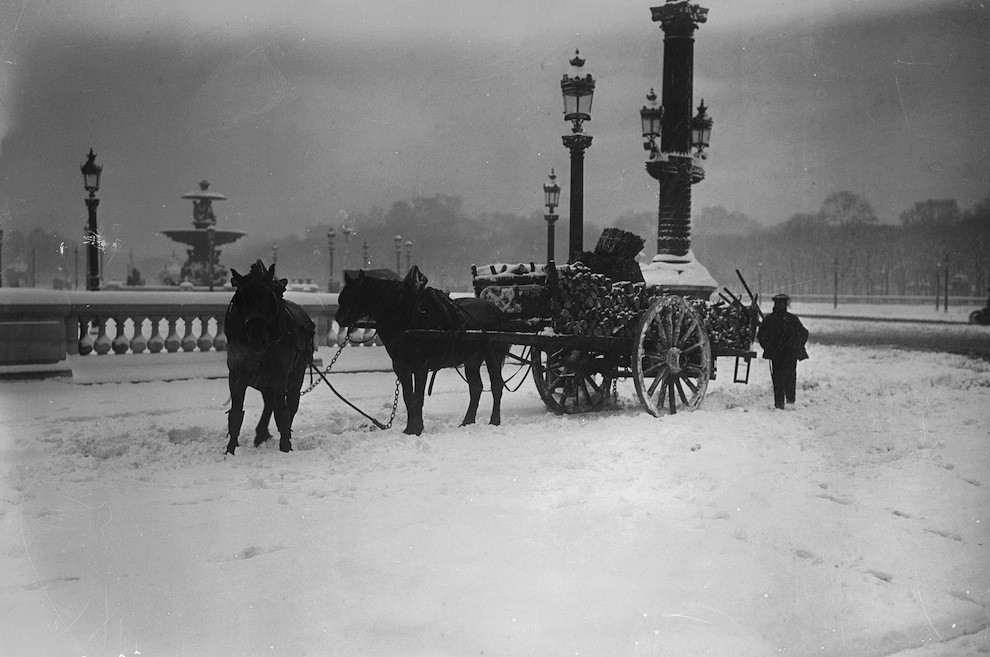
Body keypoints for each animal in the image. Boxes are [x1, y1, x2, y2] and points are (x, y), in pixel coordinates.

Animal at [225, 260, 315, 454]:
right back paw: (261, 434)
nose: (257, 339)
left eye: (268, 297)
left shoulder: (279, 374)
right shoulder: (236, 375)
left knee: (291, 403)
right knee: (269, 403)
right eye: (242, 297)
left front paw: (285, 446)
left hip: (296, 373)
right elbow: (236, 413)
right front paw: (230, 449)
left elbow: (282, 412)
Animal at [335, 266, 509, 436]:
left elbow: (418, 397)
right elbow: (408, 397)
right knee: (476, 387)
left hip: (493, 355)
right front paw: (410, 429)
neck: (408, 317)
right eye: (341, 297)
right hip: (472, 359)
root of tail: (496, 310)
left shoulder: (421, 366)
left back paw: (494, 420)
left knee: (497, 385)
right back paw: (467, 421)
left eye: (355, 296)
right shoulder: (401, 366)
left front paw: (417, 428)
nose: (339, 319)